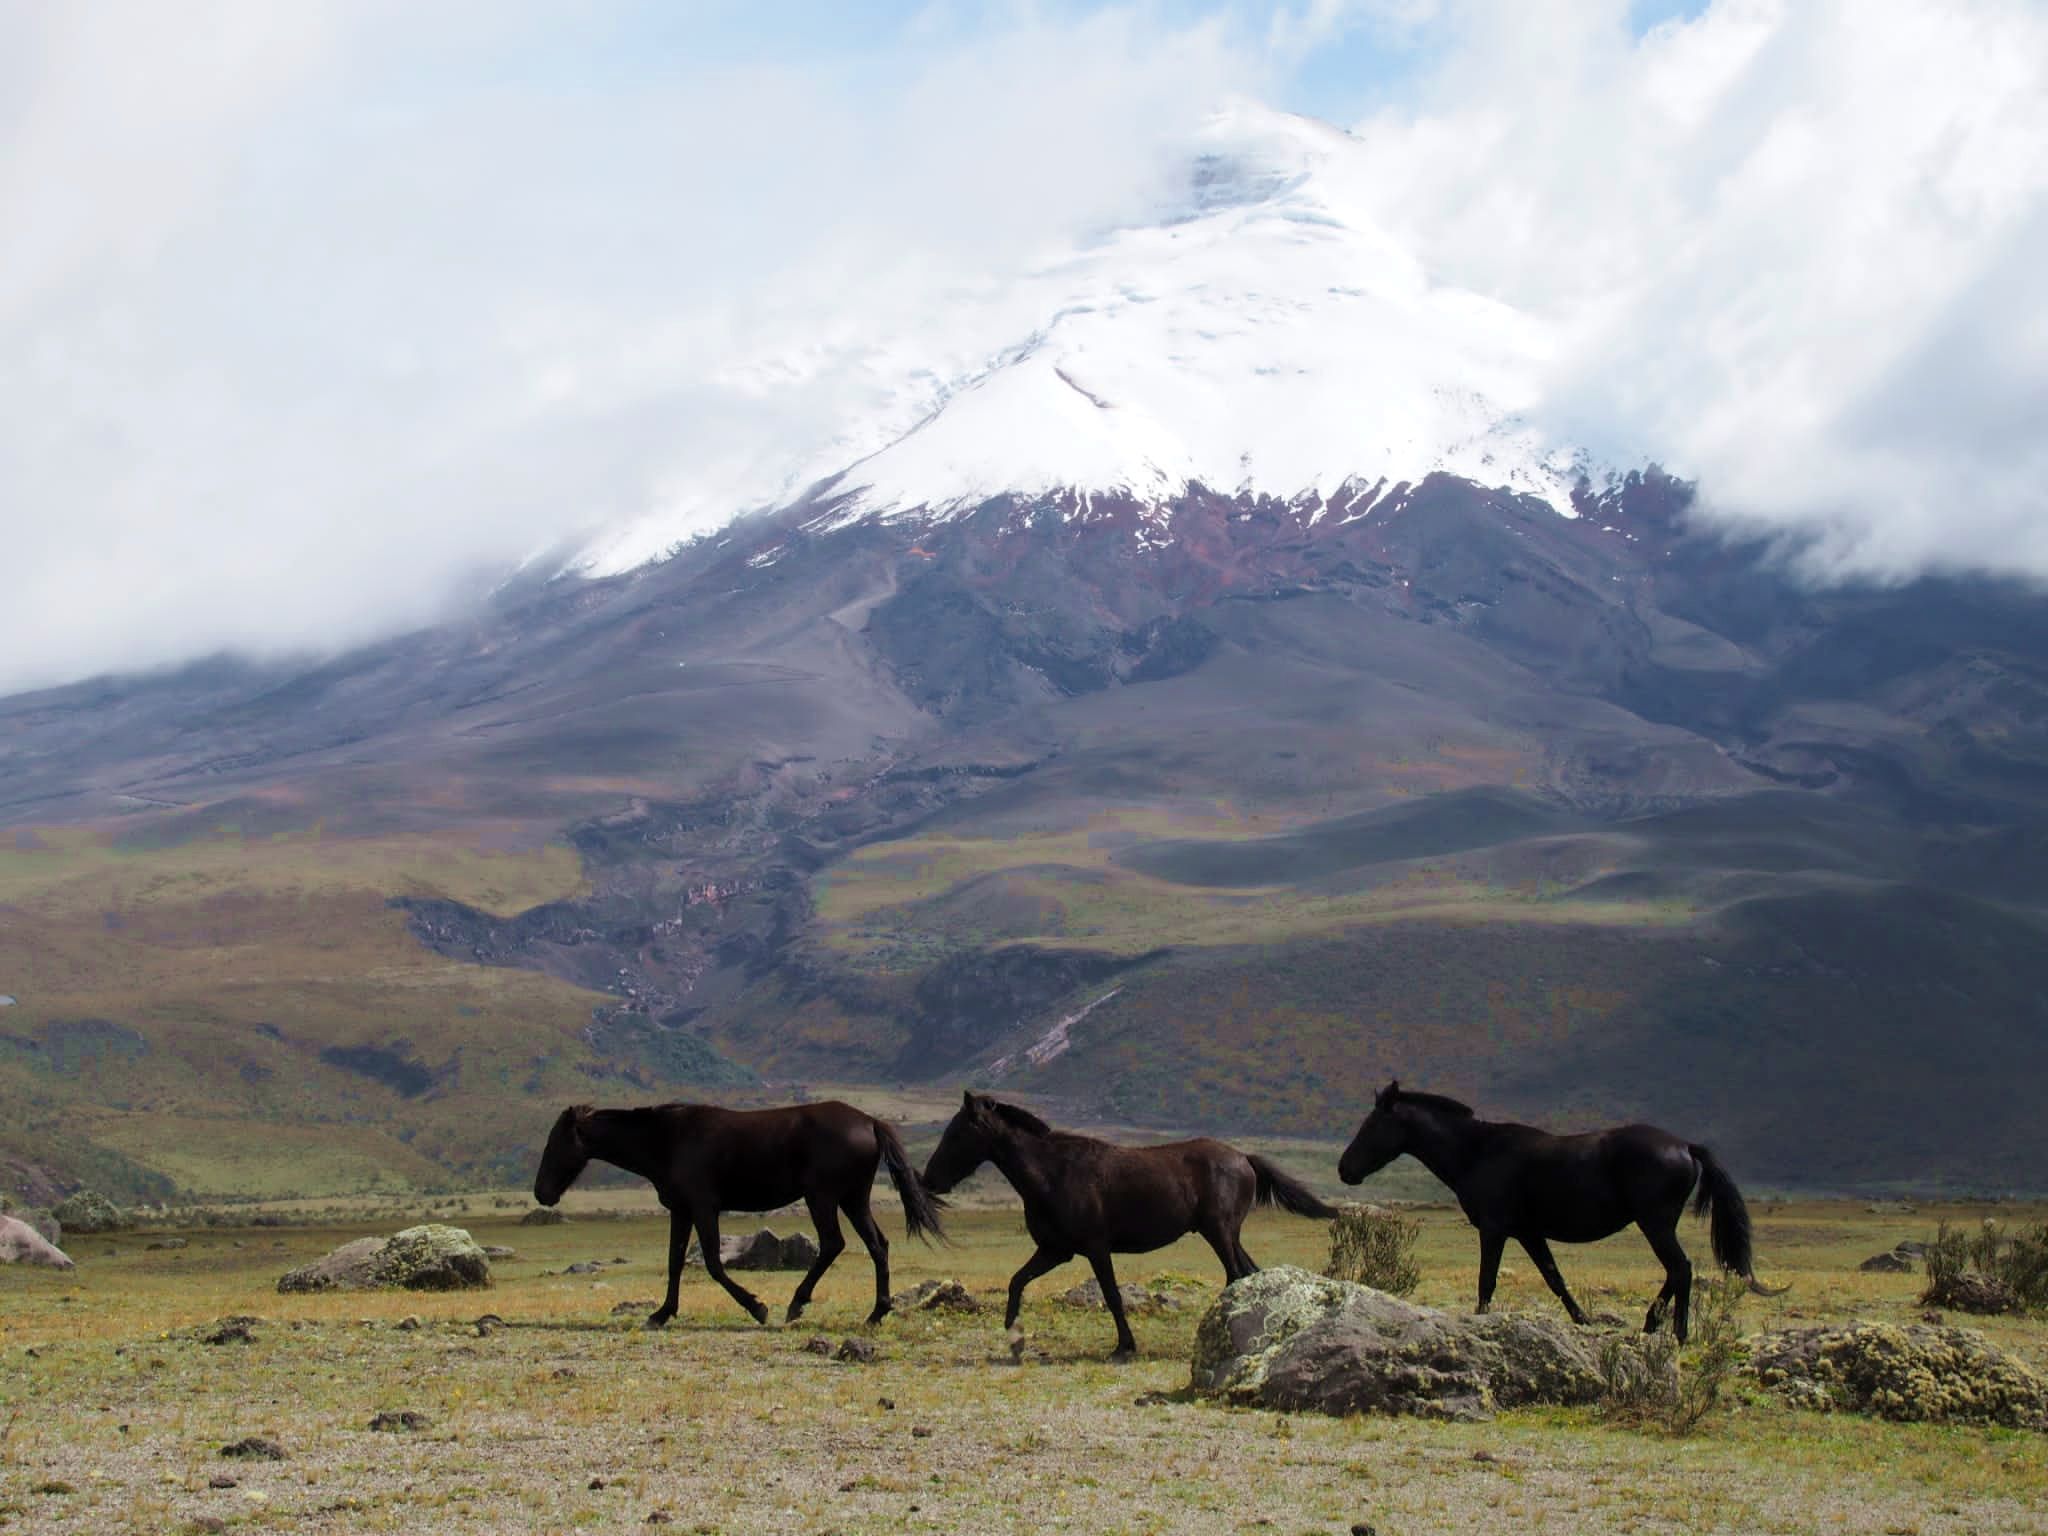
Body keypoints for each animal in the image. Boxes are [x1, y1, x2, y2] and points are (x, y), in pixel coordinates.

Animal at [528, 1097, 942, 1327]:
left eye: (555, 1143)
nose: (541, 1193)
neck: (669, 1138)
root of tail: (870, 1122)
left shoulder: (703, 1207)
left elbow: (712, 1263)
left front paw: (757, 1307)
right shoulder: (682, 1210)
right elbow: (675, 1262)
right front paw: (661, 1313)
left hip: (823, 1198)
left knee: (832, 1244)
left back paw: (796, 1304)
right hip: (852, 1200)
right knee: (877, 1246)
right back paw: (876, 1313)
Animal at [921, 1097, 1335, 1359]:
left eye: (957, 1134)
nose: (928, 1181)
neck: (1053, 1173)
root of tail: (1244, 1159)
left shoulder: (1095, 1247)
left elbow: (1112, 1296)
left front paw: (1124, 1347)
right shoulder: (1055, 1250)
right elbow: (1017, 1282)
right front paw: (1015, 1340)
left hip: (1218, 1232)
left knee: (1236, 1275)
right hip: (1228, 1234)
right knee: (1249, 1273)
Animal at [1335, 1081, 1785, 1343]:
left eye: (1372, 1125)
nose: (1344, 1169)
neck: (1477, 1152)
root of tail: (1685, 1146)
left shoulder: (1494, 1229)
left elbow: (1486, 1283)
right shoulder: (1529, 1233)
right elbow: (1555, 1279)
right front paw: (1583, 1321)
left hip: (1655, 1223)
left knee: (1681, 1269)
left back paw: (1671, 1332)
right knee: (1678, 1271)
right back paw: (1653, 1326)